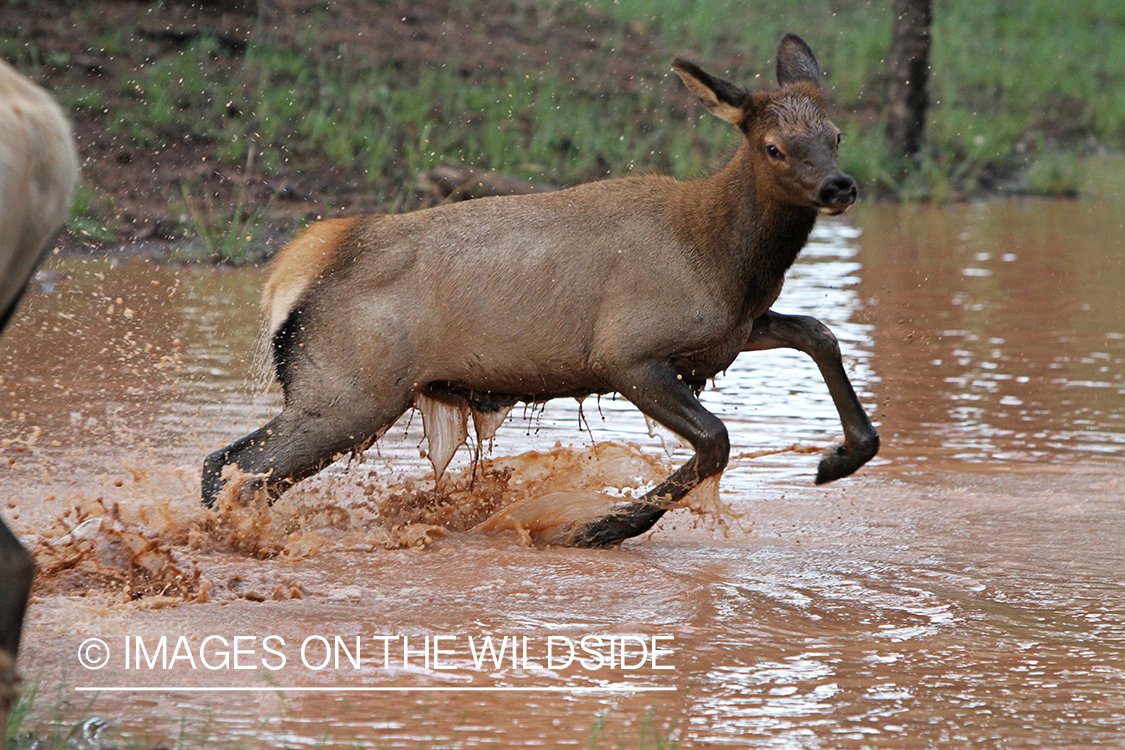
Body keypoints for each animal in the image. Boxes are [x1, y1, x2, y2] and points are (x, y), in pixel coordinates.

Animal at [202, 35, 877, 548]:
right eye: (774, 146)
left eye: (837, 135)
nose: (840, 186)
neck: (728, 264)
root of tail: (290, 280)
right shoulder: (627, 353)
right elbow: (716, 440)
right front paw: (602, 526)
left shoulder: (728, 337)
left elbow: (819, 333)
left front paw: (841, 457)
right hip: (348, 392)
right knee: (230, 465)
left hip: (348, 394)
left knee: (240, 469)